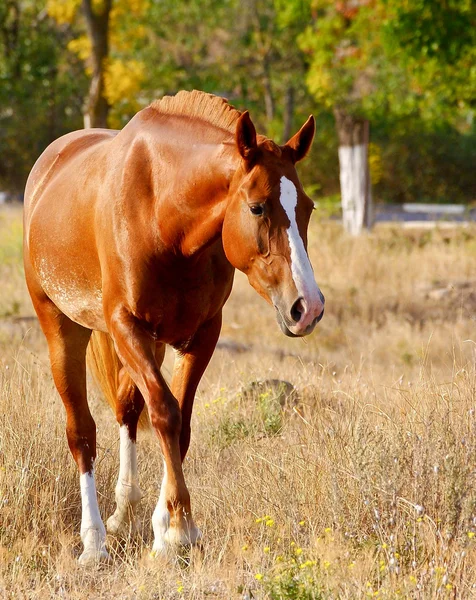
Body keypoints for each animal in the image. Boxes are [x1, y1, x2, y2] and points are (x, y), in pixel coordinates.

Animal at [24, 89, 326, 564]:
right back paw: (94, 541)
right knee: (82, 432)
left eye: (308, 208)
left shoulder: (199, 335)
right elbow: (165, 413)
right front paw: (180, 530)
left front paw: (164, 527)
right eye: (257, 206)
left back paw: (124, 513)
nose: (307, 307)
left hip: (153, 343)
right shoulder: (126, 327)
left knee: (127, 409)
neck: (162, 214)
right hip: (62, 329)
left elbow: (179, 425)